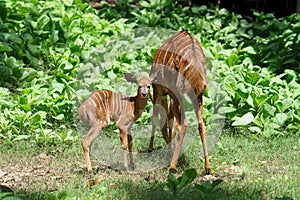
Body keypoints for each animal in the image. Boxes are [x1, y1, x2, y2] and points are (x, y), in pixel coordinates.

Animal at [148, 30, 211, 174]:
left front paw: (150, 149)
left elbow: (155, 118)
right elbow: (171, 121)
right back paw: (208, 167)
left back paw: (172, 167)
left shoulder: (158, 91)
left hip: (177, 93)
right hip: (197, 96)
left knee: (184, 124)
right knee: (201, 124)